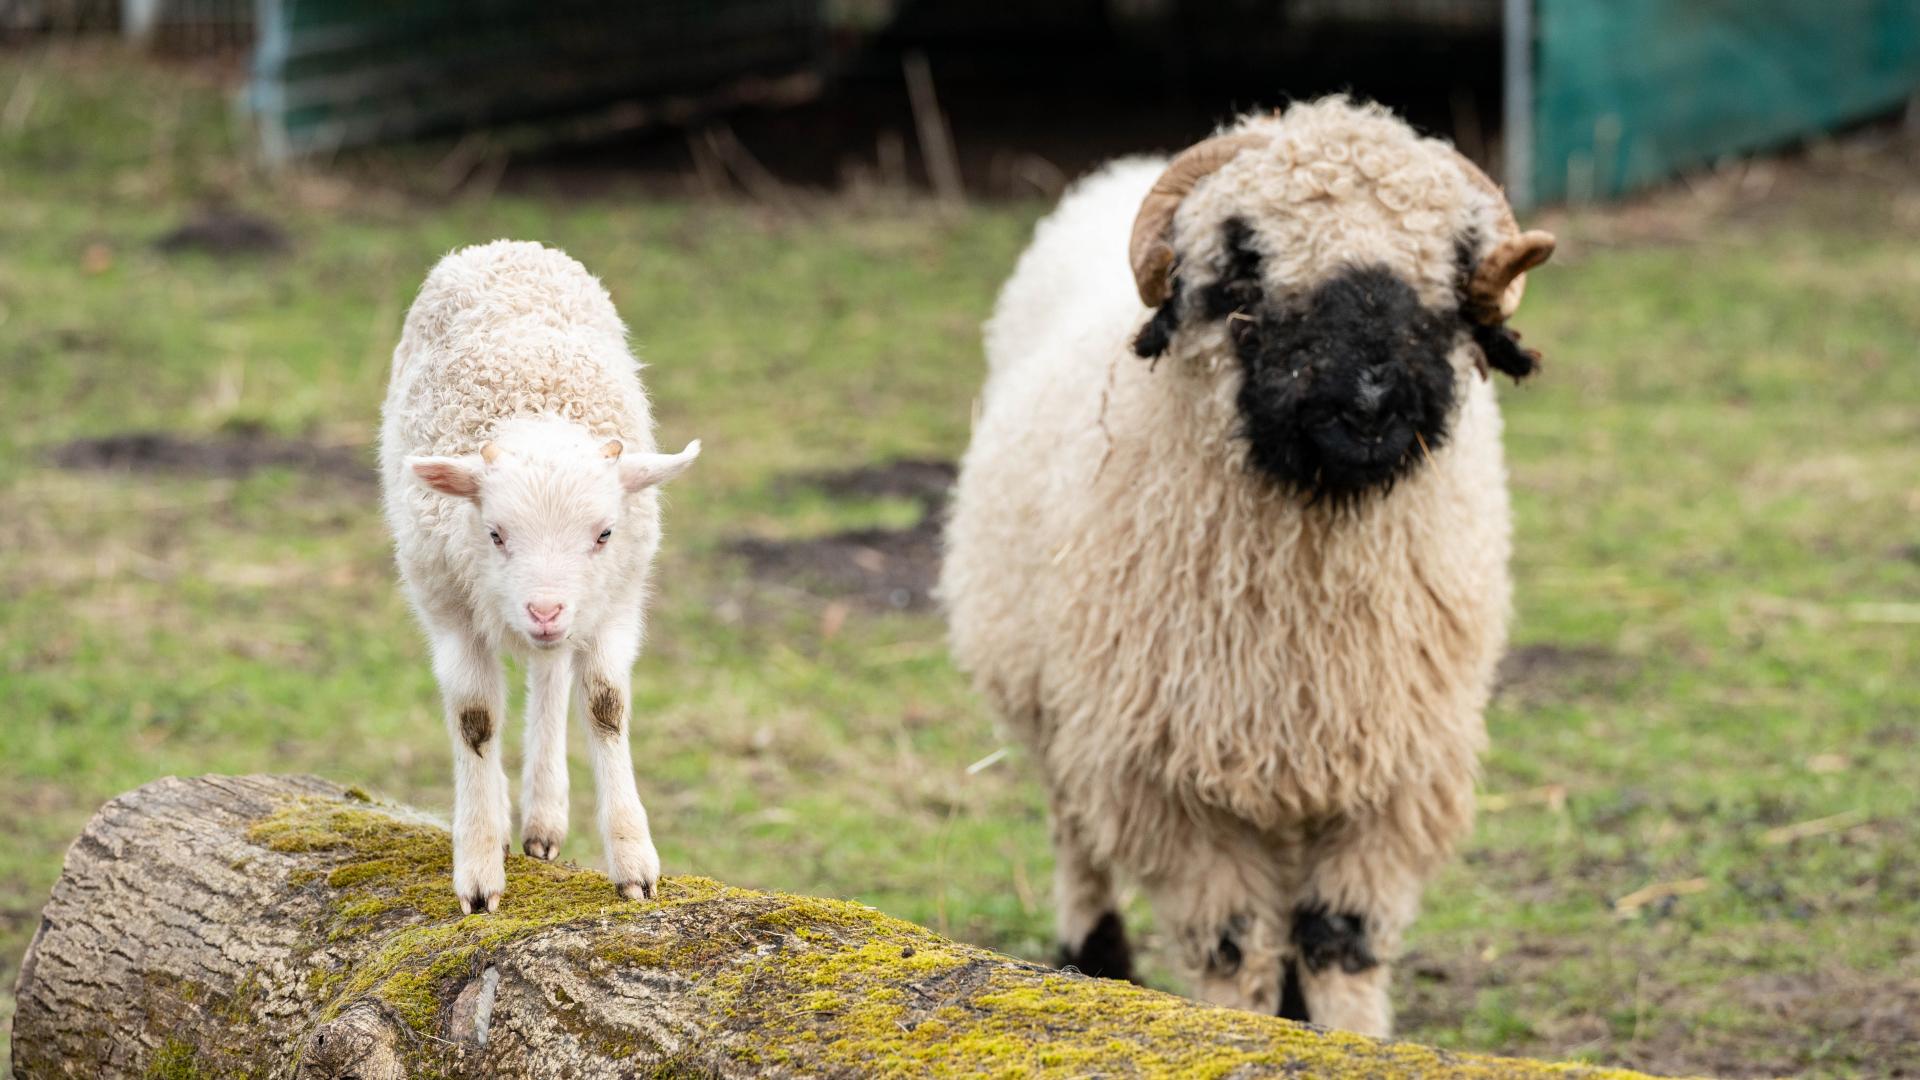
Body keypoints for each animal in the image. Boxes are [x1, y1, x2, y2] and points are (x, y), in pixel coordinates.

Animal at [379, 239, 701, 913]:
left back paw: (544, 817)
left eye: (604, 534)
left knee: (551, 677)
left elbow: (606, 706)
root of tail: (503, 246)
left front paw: (633, 859)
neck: (534, 405)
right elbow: (475, 718)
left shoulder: (616, 602)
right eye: (495, 534)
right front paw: (478, 869)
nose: (545, 611)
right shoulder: (447, 608)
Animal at [939, 97, 1555, 1036]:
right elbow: (1235, 950)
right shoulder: (1172, 780)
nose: (1370, 399)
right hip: (1054, 697)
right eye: (1245, 265)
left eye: (1451, 268)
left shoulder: (1390, 773)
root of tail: (1118, 172)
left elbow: (1340, 942)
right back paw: (1092, 949)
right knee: (1072, 827)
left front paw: (1343, 1035)